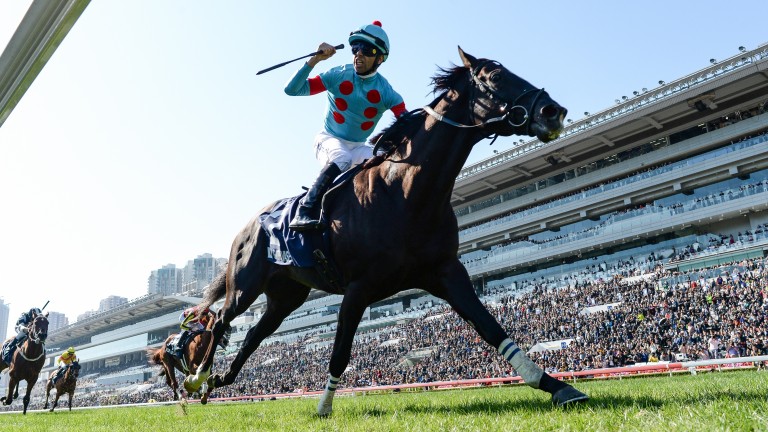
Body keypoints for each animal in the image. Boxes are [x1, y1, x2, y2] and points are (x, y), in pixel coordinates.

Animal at [184, 47, 588, 416]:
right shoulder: (358, 288)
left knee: (254, 334)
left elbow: (492, 328)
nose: (552, 111)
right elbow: (340, 352)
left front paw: (555, 386)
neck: (406, 193)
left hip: (287, 295)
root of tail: (250, 224)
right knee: (220, 321)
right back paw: (196, 377)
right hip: (245, 285)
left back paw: (218, 380)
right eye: (495, 77)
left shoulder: (445, 271)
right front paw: (324, 406)